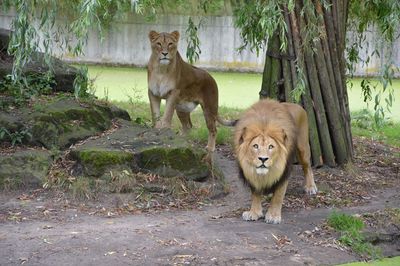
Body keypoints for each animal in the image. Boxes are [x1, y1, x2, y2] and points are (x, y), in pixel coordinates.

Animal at [147, 30, 234, 158]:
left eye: (170, 44)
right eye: (158, 43)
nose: (165, 53)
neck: (161, 69)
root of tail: (212, 77)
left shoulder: (173, 93)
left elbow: (167, 115)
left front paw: (164, 129)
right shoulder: (153, 93)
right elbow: (155, 114)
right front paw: (156, 128)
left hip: (209, 108)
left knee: (213, 129)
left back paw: (210, 148)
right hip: (181, 108)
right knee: (188, 126)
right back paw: (181, 140)